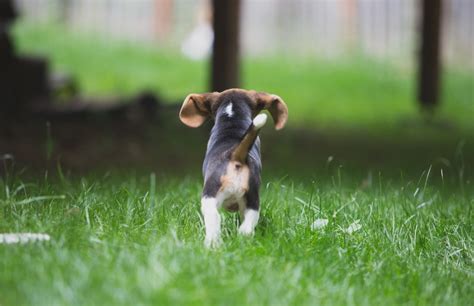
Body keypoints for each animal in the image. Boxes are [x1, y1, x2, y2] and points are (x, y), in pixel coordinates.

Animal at [179, 88, 286, 246]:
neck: (232, 120)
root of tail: (235, 155)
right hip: (252, 200)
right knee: (246, 228)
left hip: (209, 198)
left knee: (214, 219)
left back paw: (212, 245)